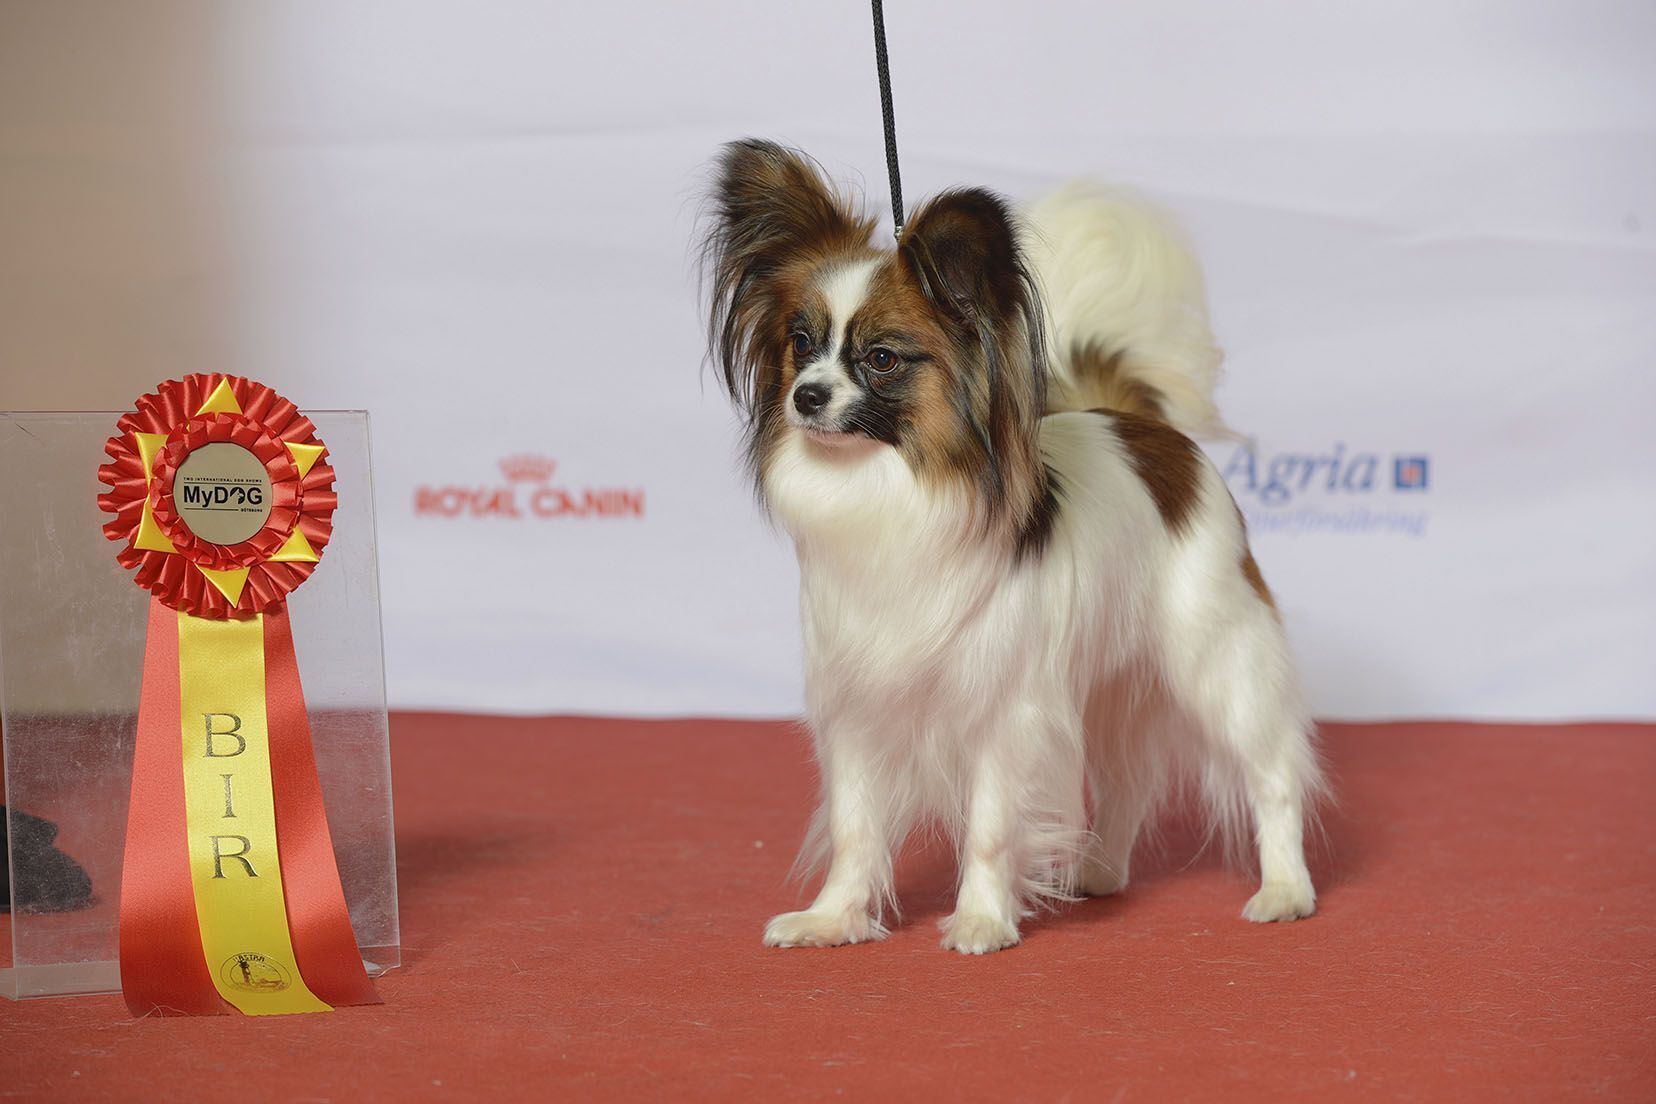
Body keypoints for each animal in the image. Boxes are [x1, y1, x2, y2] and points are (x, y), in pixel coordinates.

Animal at [698, 135, 1318, 953]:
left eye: (881, 358)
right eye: (799, 344)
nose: (806, 396)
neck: (891, 489)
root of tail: (1146, 431)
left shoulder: (1004, 708)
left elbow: (991, 827)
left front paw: (981, 919)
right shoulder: (861, 706)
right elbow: (856, 828)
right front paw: (835, 918)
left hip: (1216, 657)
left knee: (1271, 775)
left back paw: (1285, 889)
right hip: (1112, 681)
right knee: (1124, 780)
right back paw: (1100, 873)